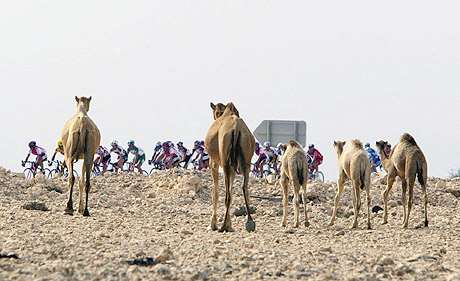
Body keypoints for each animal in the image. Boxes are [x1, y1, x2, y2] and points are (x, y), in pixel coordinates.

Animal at [204, 101, 255, 231]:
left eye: (216, 112)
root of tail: (236, 129)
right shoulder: (234, 165)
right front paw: (229, 224)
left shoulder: (214, 162)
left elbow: (215, 192)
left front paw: (213, 224)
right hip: (246, 161)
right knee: (244, 187)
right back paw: (250, 222)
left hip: (225, 161)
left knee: (227, 195)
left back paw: (222, 227)